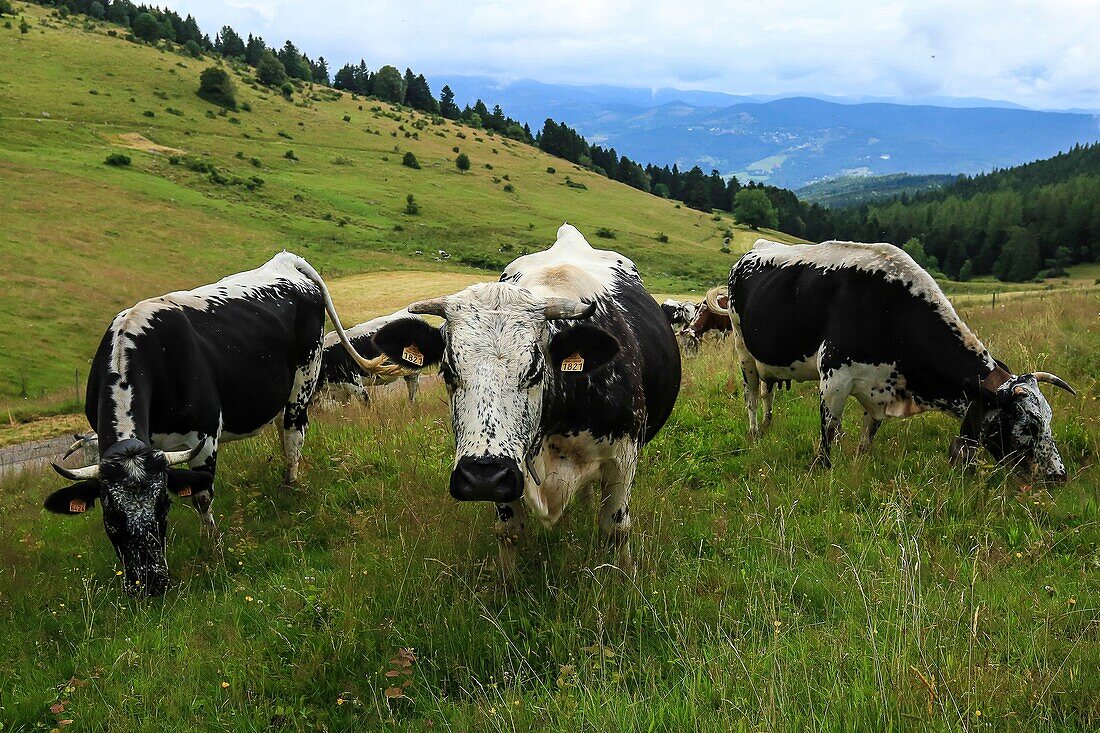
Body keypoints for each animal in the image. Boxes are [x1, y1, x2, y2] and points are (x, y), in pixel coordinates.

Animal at [46, 250, 400, 594]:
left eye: (163, 507)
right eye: (110, 517)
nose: (150, 585)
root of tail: (285, 260)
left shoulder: (204, 436)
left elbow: (202, 497)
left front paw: (212, 548)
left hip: (305, 379)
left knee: (293, 435)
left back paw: (289, 484)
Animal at [369, 222, 677, 576]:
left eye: (534, 370)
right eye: (447, 370)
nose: (482, 476)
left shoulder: (623, 457)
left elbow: (615, 529)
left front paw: (623, 578)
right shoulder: (507, 477)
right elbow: (509, 531)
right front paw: (509, 581)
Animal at [730, 236, 1073, 471]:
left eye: (1049, 419)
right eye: (1029, 425)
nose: (1058, 476)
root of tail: (757, 247)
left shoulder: (879, 385)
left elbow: (868, 434)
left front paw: (859, 460)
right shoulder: (834, 377)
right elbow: (827, 432)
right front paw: (824, 468)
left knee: (769, 391)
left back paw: (768, 425)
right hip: (742, 348)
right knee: (751, 395)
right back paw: (754, 432)